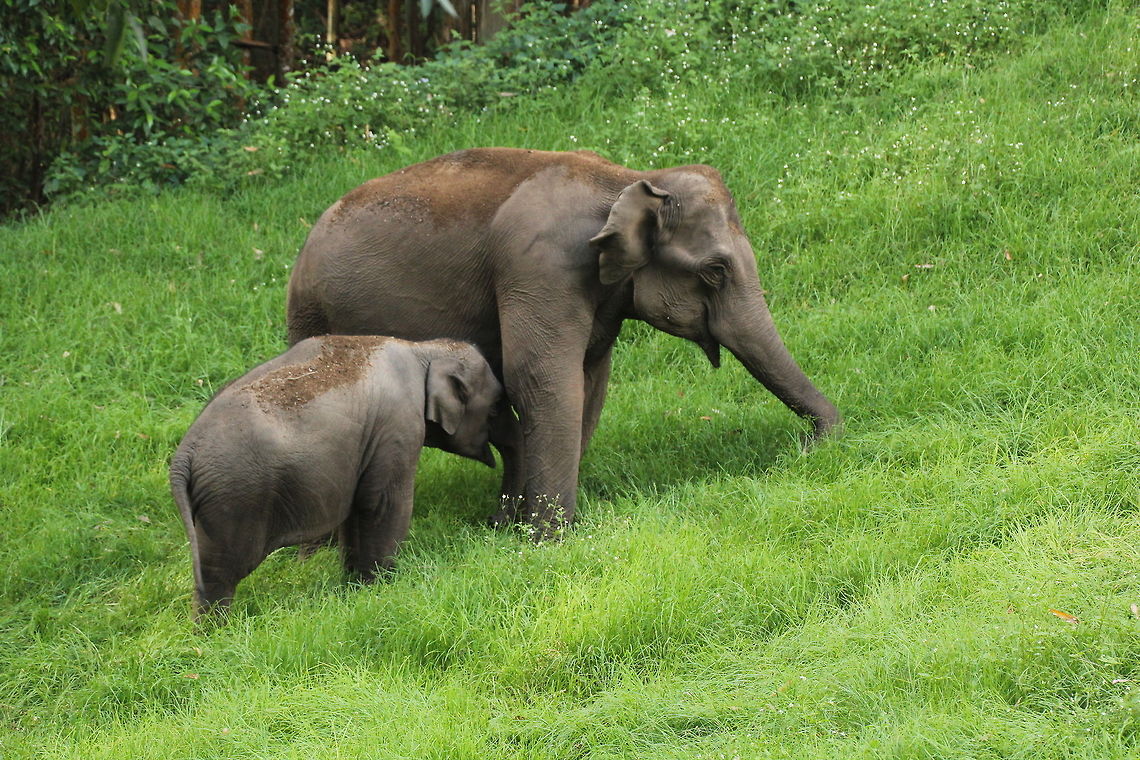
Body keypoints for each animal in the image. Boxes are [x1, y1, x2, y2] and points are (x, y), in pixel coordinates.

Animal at [170, 335, 502, 619]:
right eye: (494, 409)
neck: (423, 350)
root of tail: (185, 454)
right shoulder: (398, 426)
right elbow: (383, 503)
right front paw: (382, 587)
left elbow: (356, 508)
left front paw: (355, 589)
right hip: (236, 495)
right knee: (222, 569)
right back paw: (215, 633)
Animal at [286, 148, 841, 541]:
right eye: (715, 271)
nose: (810, 445)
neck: (631, 178)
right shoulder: (541, 265)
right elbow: (541, 378)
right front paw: (551, 539)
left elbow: (589, 379)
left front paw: (525, 527)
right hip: (313, 319)